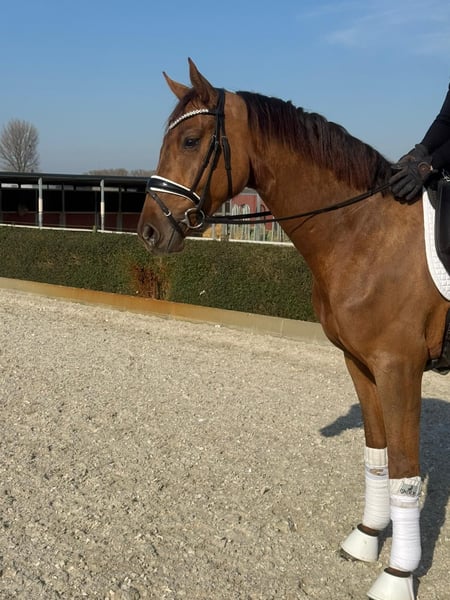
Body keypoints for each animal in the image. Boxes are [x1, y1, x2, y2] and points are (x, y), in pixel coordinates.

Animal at [137, 59, 449, 600]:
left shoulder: (400, 369)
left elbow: (405, 473)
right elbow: (377, 456)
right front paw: (367, 538)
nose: (149, 231)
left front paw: (398, 574)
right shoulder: (361, 364)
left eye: (192, 141)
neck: (365, 231)